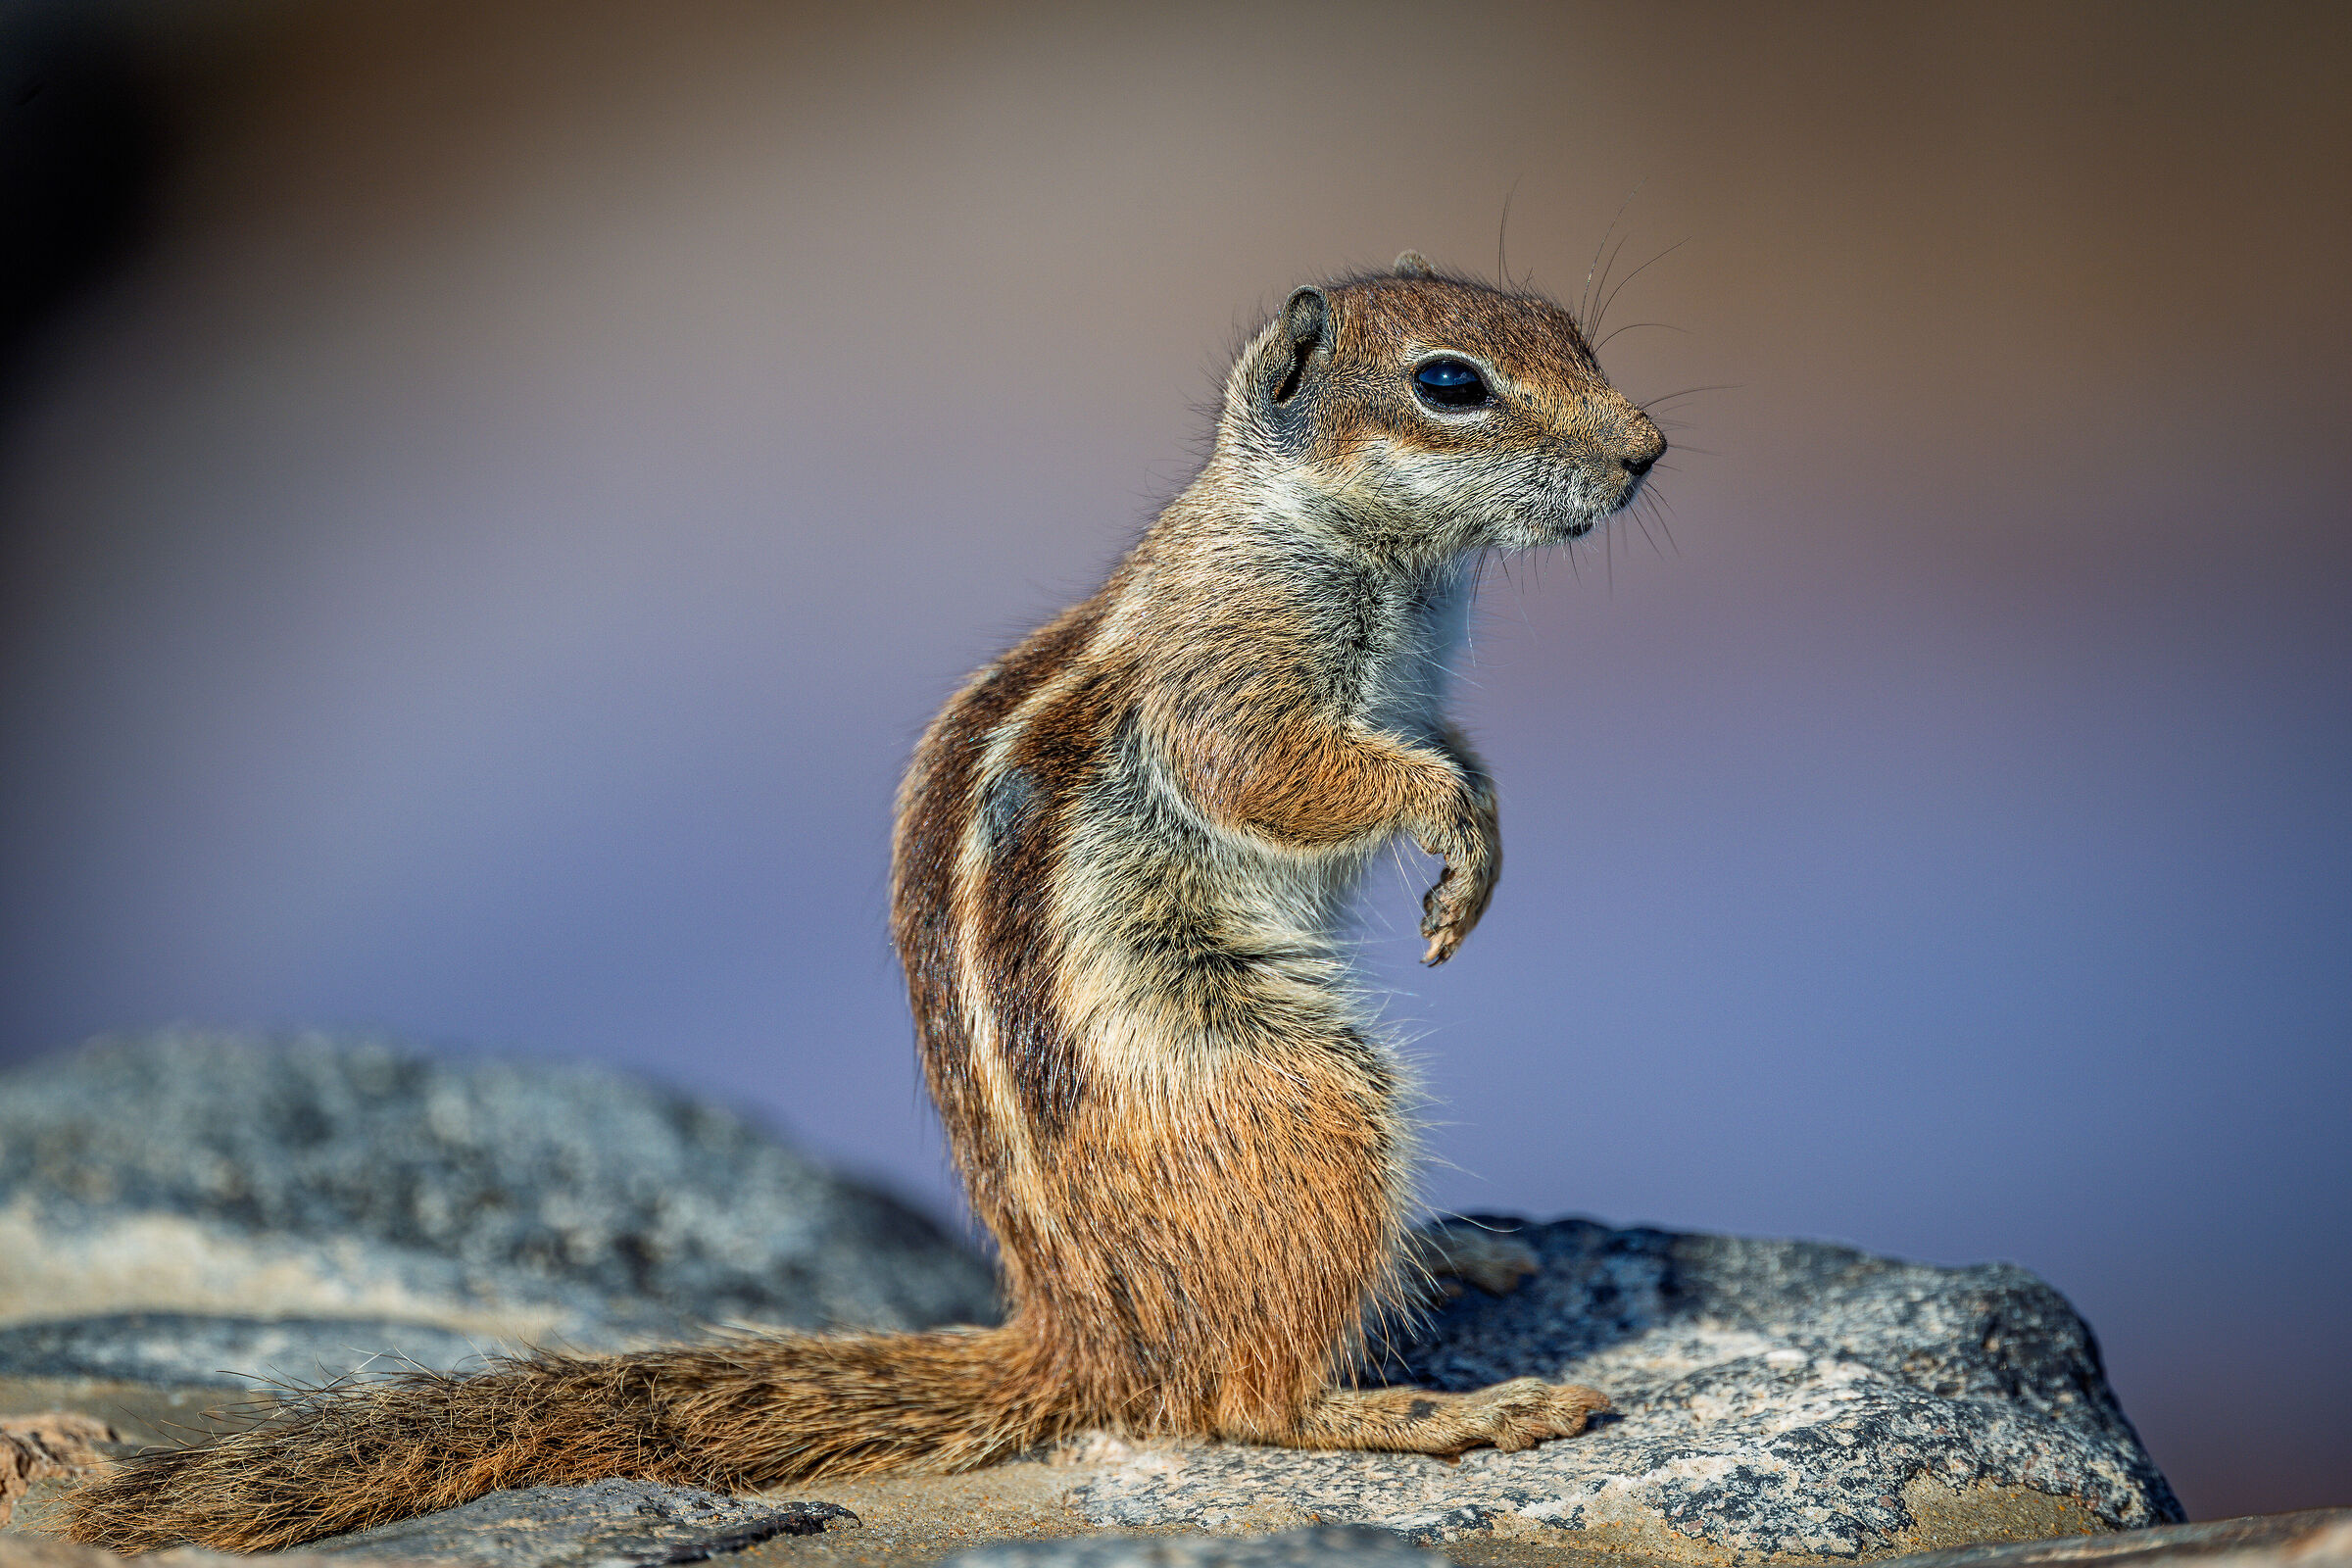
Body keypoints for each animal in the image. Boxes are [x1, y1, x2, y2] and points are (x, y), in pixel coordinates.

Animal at [56, 252, 1665, 1553]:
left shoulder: (1418, 690)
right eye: (1450, 385)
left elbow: (1447, 753)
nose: (1648, 451)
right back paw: (1432, 1408)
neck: (1379, 558)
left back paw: (1452, 1256)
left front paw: (1480, 840)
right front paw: (1449, 827)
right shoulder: (1238, 668)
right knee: (1238, 1398)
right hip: (1297, 1096)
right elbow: (1287, 771)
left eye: (1576, 335)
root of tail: (1080, 1334)